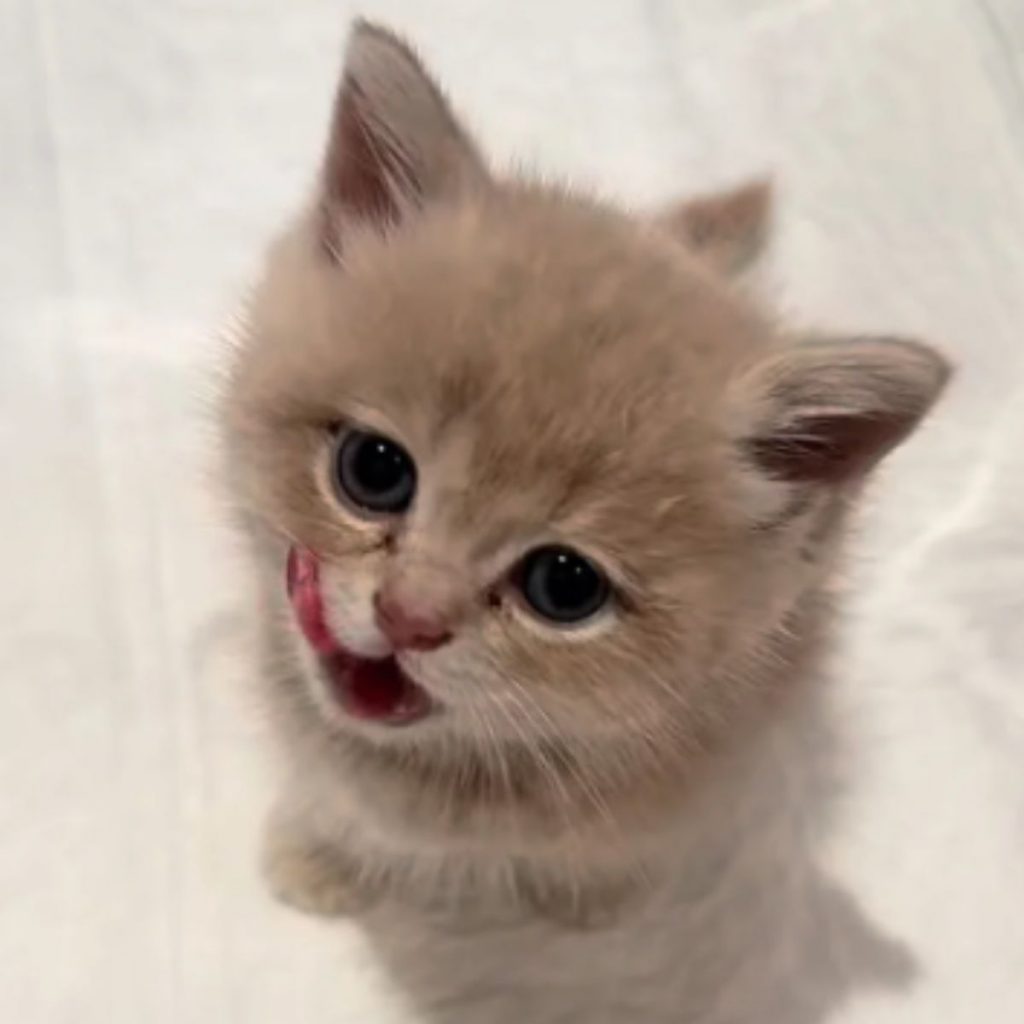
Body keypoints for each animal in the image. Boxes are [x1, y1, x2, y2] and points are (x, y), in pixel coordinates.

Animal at [224, 18, 950, 1024]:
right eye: (373, 470)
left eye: (564, 587)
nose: (410, 615)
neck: (452, 772)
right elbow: (322, 779)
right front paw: (318, 850)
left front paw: (592, 892)